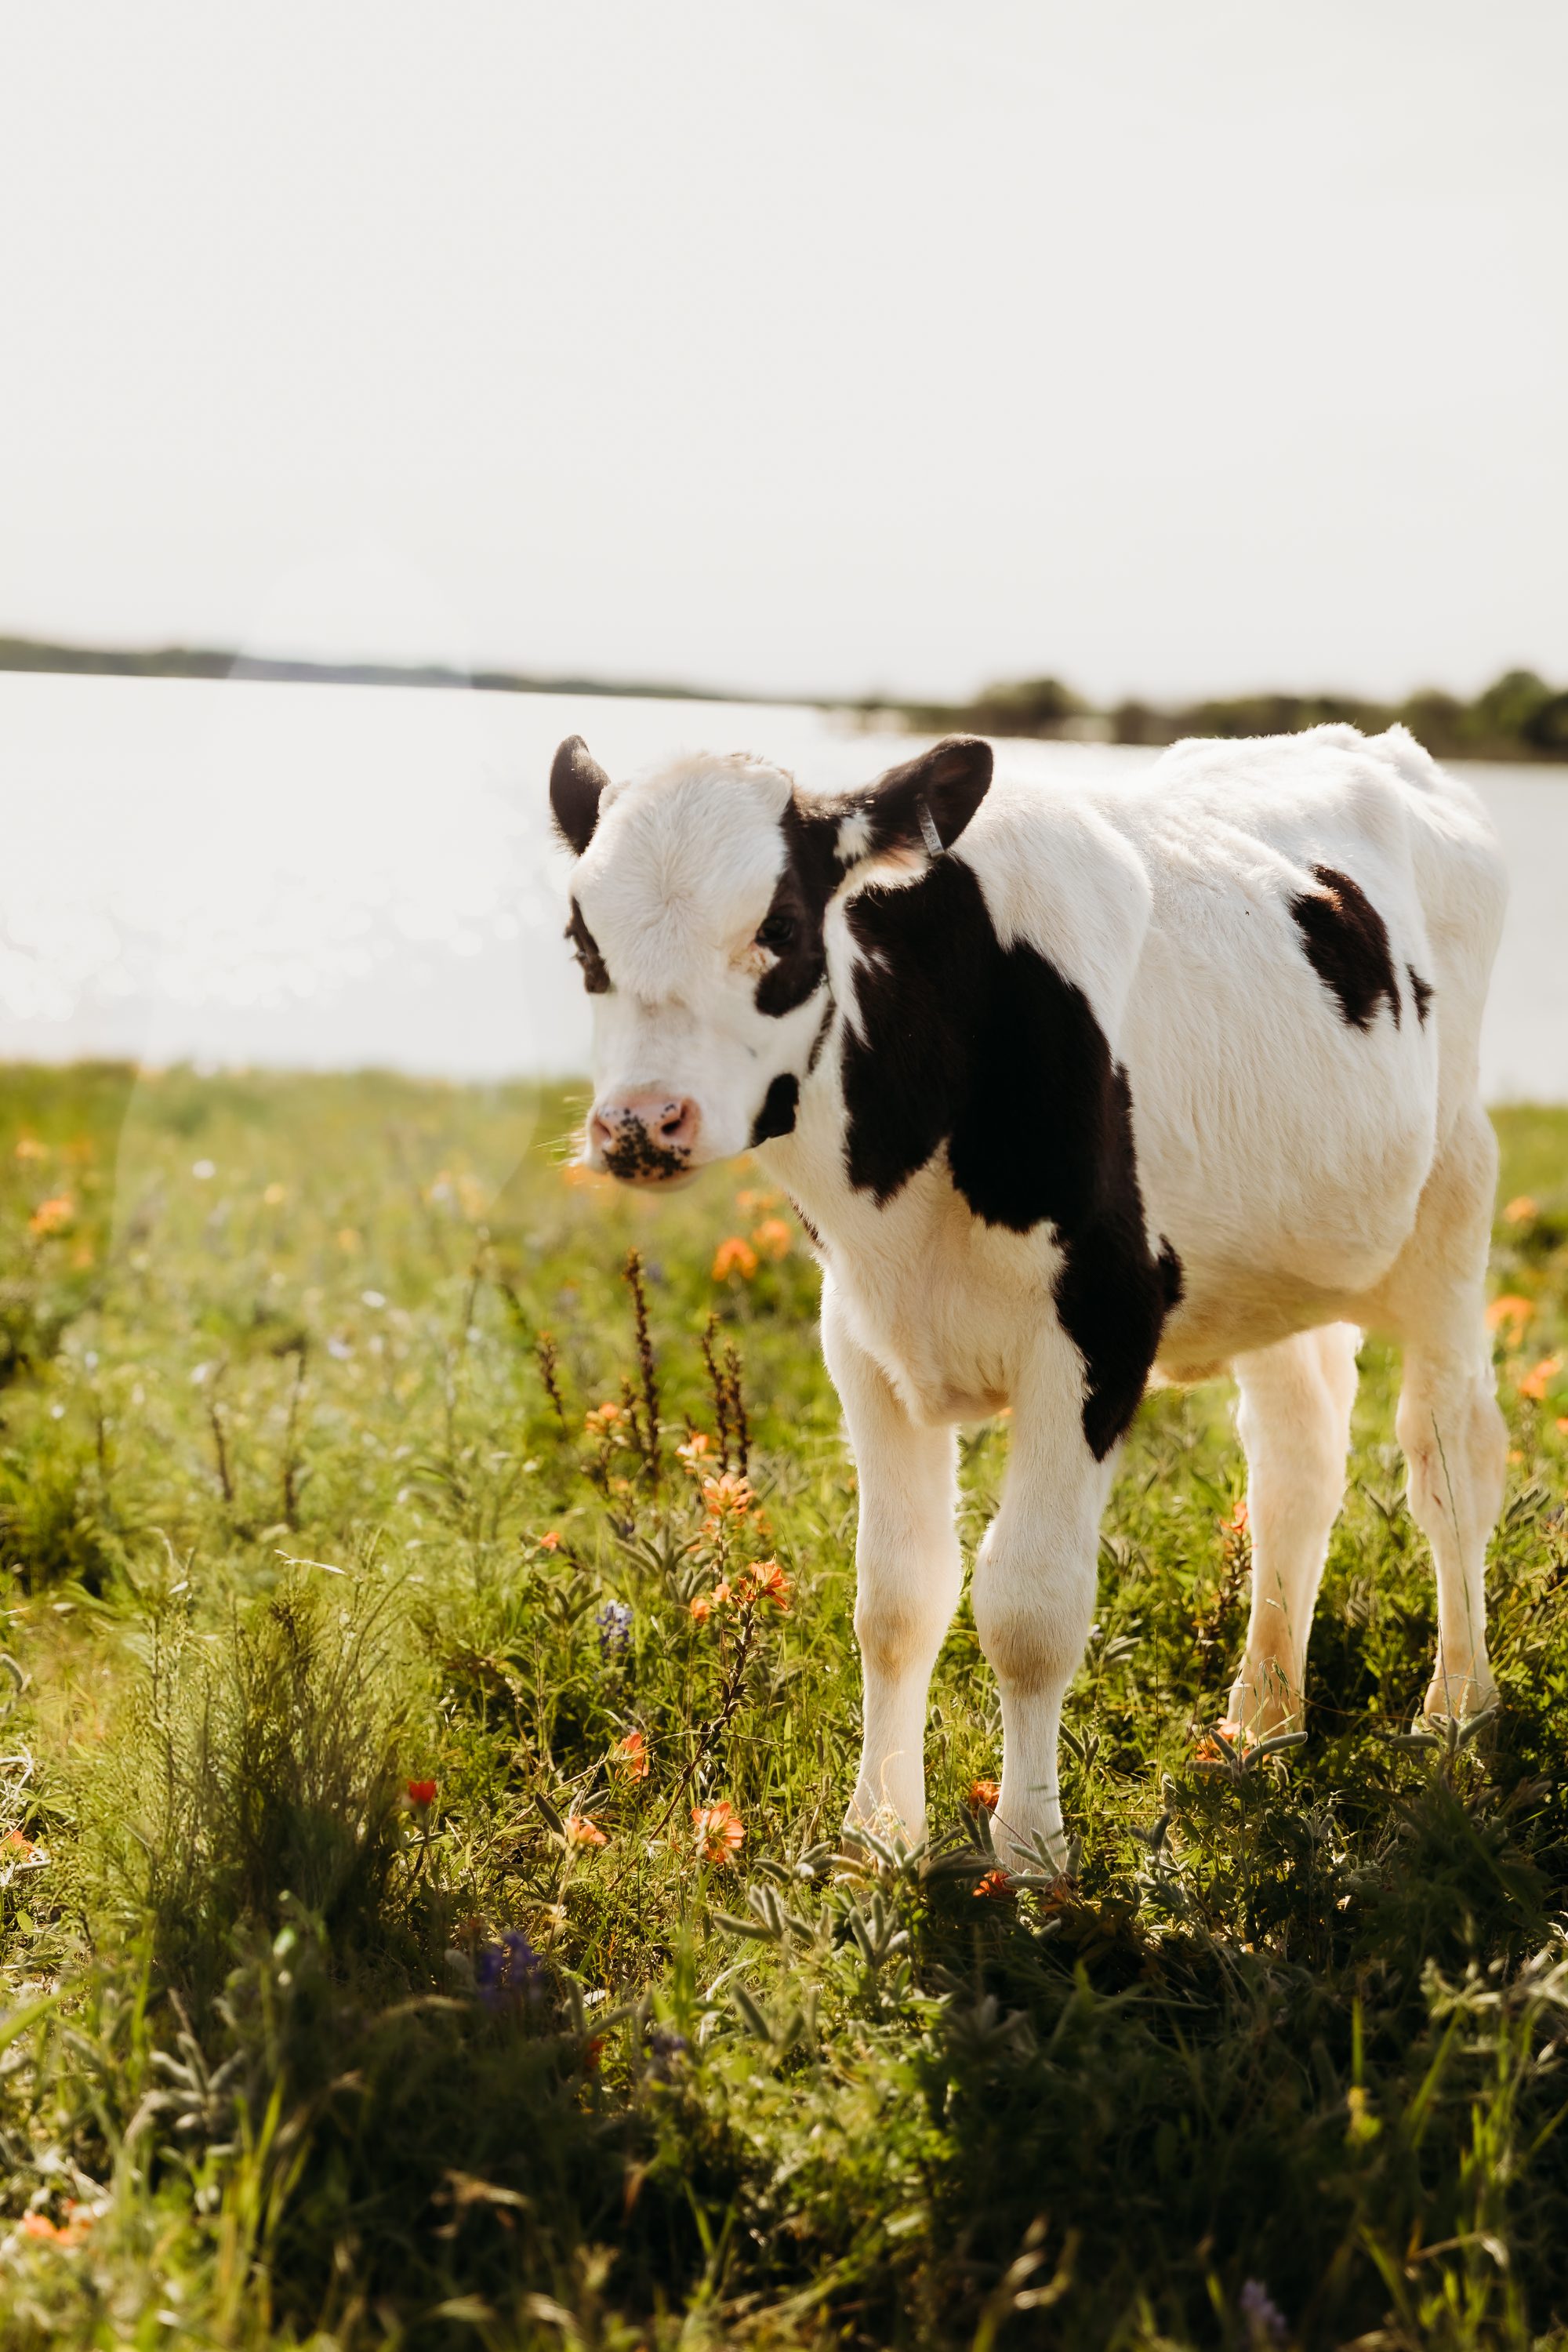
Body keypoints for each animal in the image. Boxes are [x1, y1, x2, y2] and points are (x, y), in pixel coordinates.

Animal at [549, 722, 1509, 1870]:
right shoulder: (861, 1340)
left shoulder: (1098, 1324)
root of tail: (1372, 742)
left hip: (1452, 1202)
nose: (640, 1122)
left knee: (1449, 1459)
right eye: (583, 940)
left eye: (777, 925)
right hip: (1278, 1259)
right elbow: (896, 1597)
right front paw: (876, 1840)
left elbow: (1029, 1606)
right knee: (1295, 1468)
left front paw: (1030, 1854)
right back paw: (1260, 1727)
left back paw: (1455, 1719)